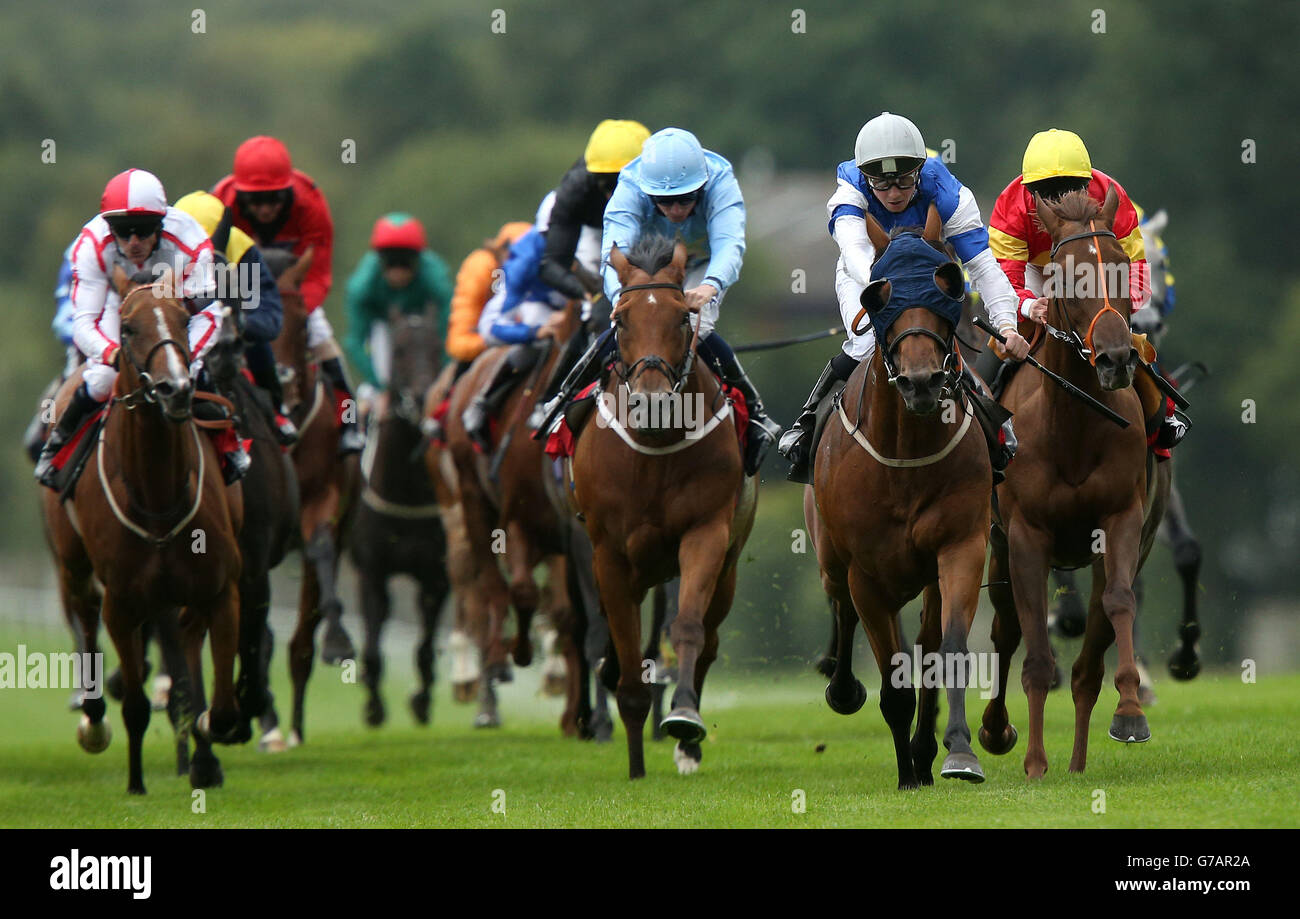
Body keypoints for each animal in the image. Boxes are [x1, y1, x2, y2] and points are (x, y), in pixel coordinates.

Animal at [41, 263, 244, 790]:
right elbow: (133, 704)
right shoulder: (122, 600)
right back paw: (94, 721)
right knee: (85, 620)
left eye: (184, 317)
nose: (176, 389)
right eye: (128, 327)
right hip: (74, 567)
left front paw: (205, 742)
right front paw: (135, 782)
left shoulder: (220, 589)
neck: (158, 496)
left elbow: (220, 708)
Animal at [566, 235, 754, 774]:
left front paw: (684, 719)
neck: (654, 449)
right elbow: (624, 647)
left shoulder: (706, 533)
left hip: (727, 567)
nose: (651, 405)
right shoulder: (606, 552)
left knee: (707, 638)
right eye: (621, 320)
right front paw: (632, 756)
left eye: (681, 318)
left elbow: (686, 627)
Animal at [806, 220, 987, 790]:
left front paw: (953, 755)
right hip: (830, 558)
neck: (906, 453)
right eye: (877, 295)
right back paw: (843, 689)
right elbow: (892, 678)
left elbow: (947, 653)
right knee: (840, 605)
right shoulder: (866, 572)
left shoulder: (960, 546)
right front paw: (908, 772)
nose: (922, 381)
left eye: (947, 287)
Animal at [977, 191, 1175, 779]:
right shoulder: (1025, 536)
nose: (1116, 358)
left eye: (1119, 264)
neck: (1075, 425)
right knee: (1005, 628)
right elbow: (1036, 653)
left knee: (1093, 644)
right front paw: (1034, 762)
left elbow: (1119, 604)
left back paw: (1080, 760)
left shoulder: (1122, 521)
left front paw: (1130, 712)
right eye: (1066, 277)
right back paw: (1000, 731)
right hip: (997, 547)